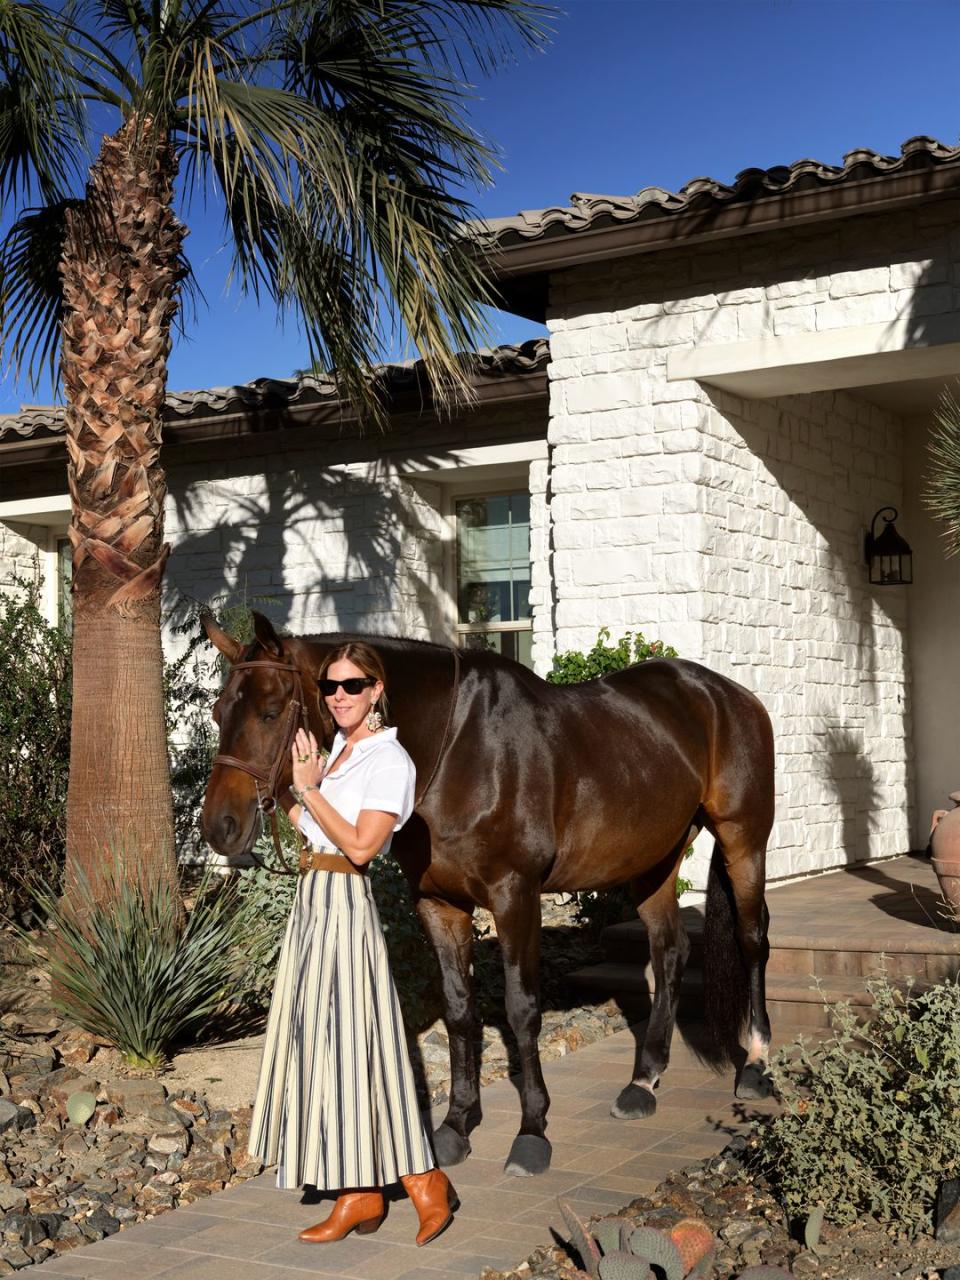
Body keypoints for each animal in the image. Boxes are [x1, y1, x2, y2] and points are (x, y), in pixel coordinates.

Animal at [200, 614, 773, 1172]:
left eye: (270, 712)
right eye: (217, 711)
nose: (219, 828)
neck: (455, 748)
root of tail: (727, 693)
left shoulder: (515, 894)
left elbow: (522, 1010)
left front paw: (532, 1132)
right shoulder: (438, 902)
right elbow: (459, 1010)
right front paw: (456, 1126)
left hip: (743, 839)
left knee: (752, 941)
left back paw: (757, 1065)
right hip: (654, 859)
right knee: (670, 951)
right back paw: (642, 1082)